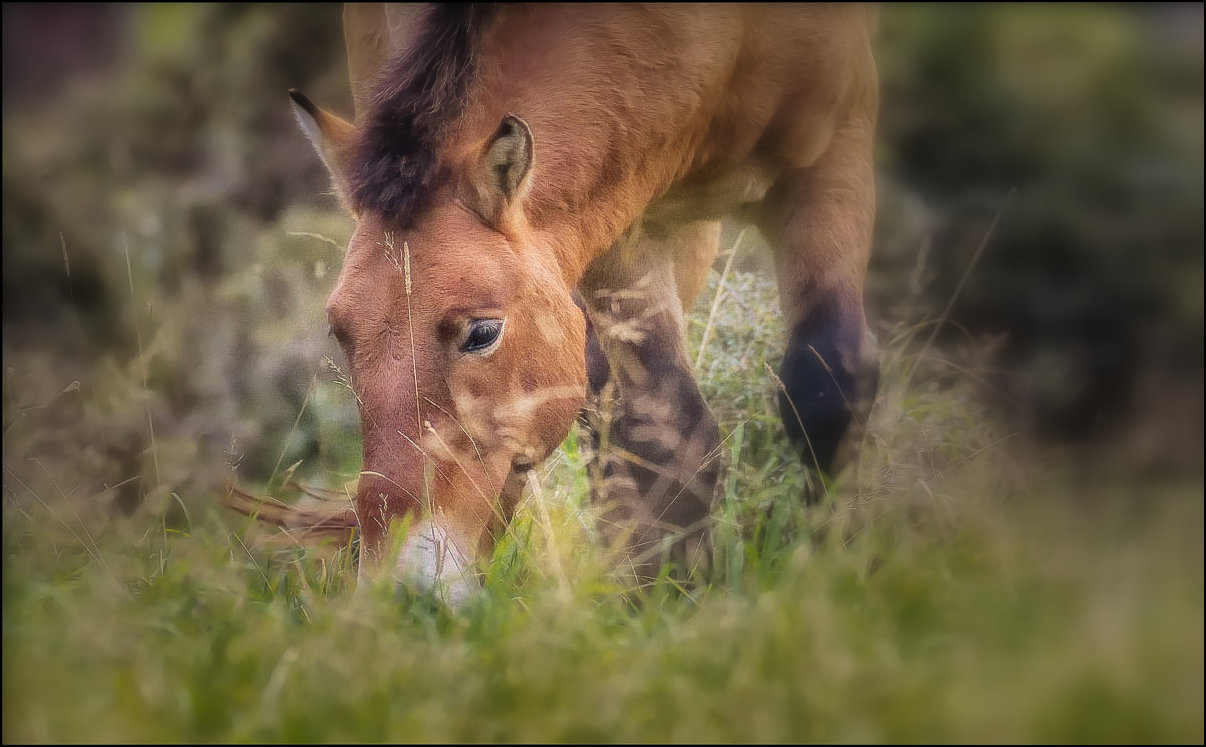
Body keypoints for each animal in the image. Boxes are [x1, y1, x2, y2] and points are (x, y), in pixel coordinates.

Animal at [276, 2, 877, 605]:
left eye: (482, 333)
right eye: (340, 334)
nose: (400, 585)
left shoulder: (834, 158)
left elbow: (827, 386)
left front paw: (831, 569)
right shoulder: (624, 222)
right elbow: (665, 429)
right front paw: (667, 594)